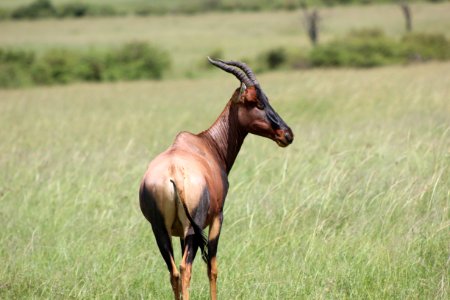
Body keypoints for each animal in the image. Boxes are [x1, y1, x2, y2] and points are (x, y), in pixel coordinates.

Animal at [141, 57, 296, 298]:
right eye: (257, 103)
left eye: (266, 99)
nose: (287, 134)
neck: (206, 144)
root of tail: (174, 173)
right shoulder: (217, 218)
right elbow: (212, 268)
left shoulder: (178, 232)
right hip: (192, 229)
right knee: (185, 269)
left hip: (160, 230)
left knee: (174, 273)